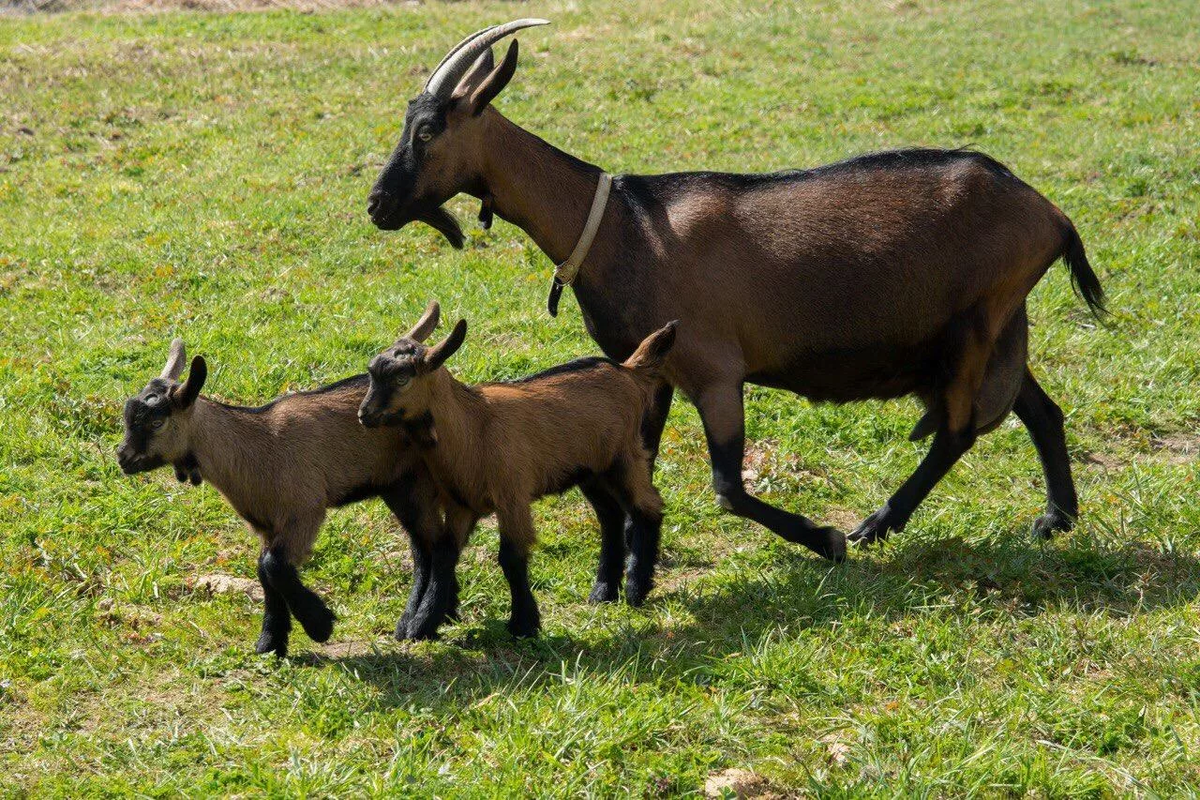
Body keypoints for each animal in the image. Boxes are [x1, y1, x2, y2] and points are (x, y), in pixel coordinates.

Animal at [367, 18, 1104, 556]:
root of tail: (1049, 213)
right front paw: (636, 562)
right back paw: (1055, 517)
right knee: (1039, 410)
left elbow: (725, 485)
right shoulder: (650, 370)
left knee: (957, 430)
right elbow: (641, 462)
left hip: (970, 328)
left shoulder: (715, 369)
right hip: (996, 327)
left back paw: (873, 525)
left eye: (428, 129)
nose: (378, 204)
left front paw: (823, 538)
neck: (621, 225)